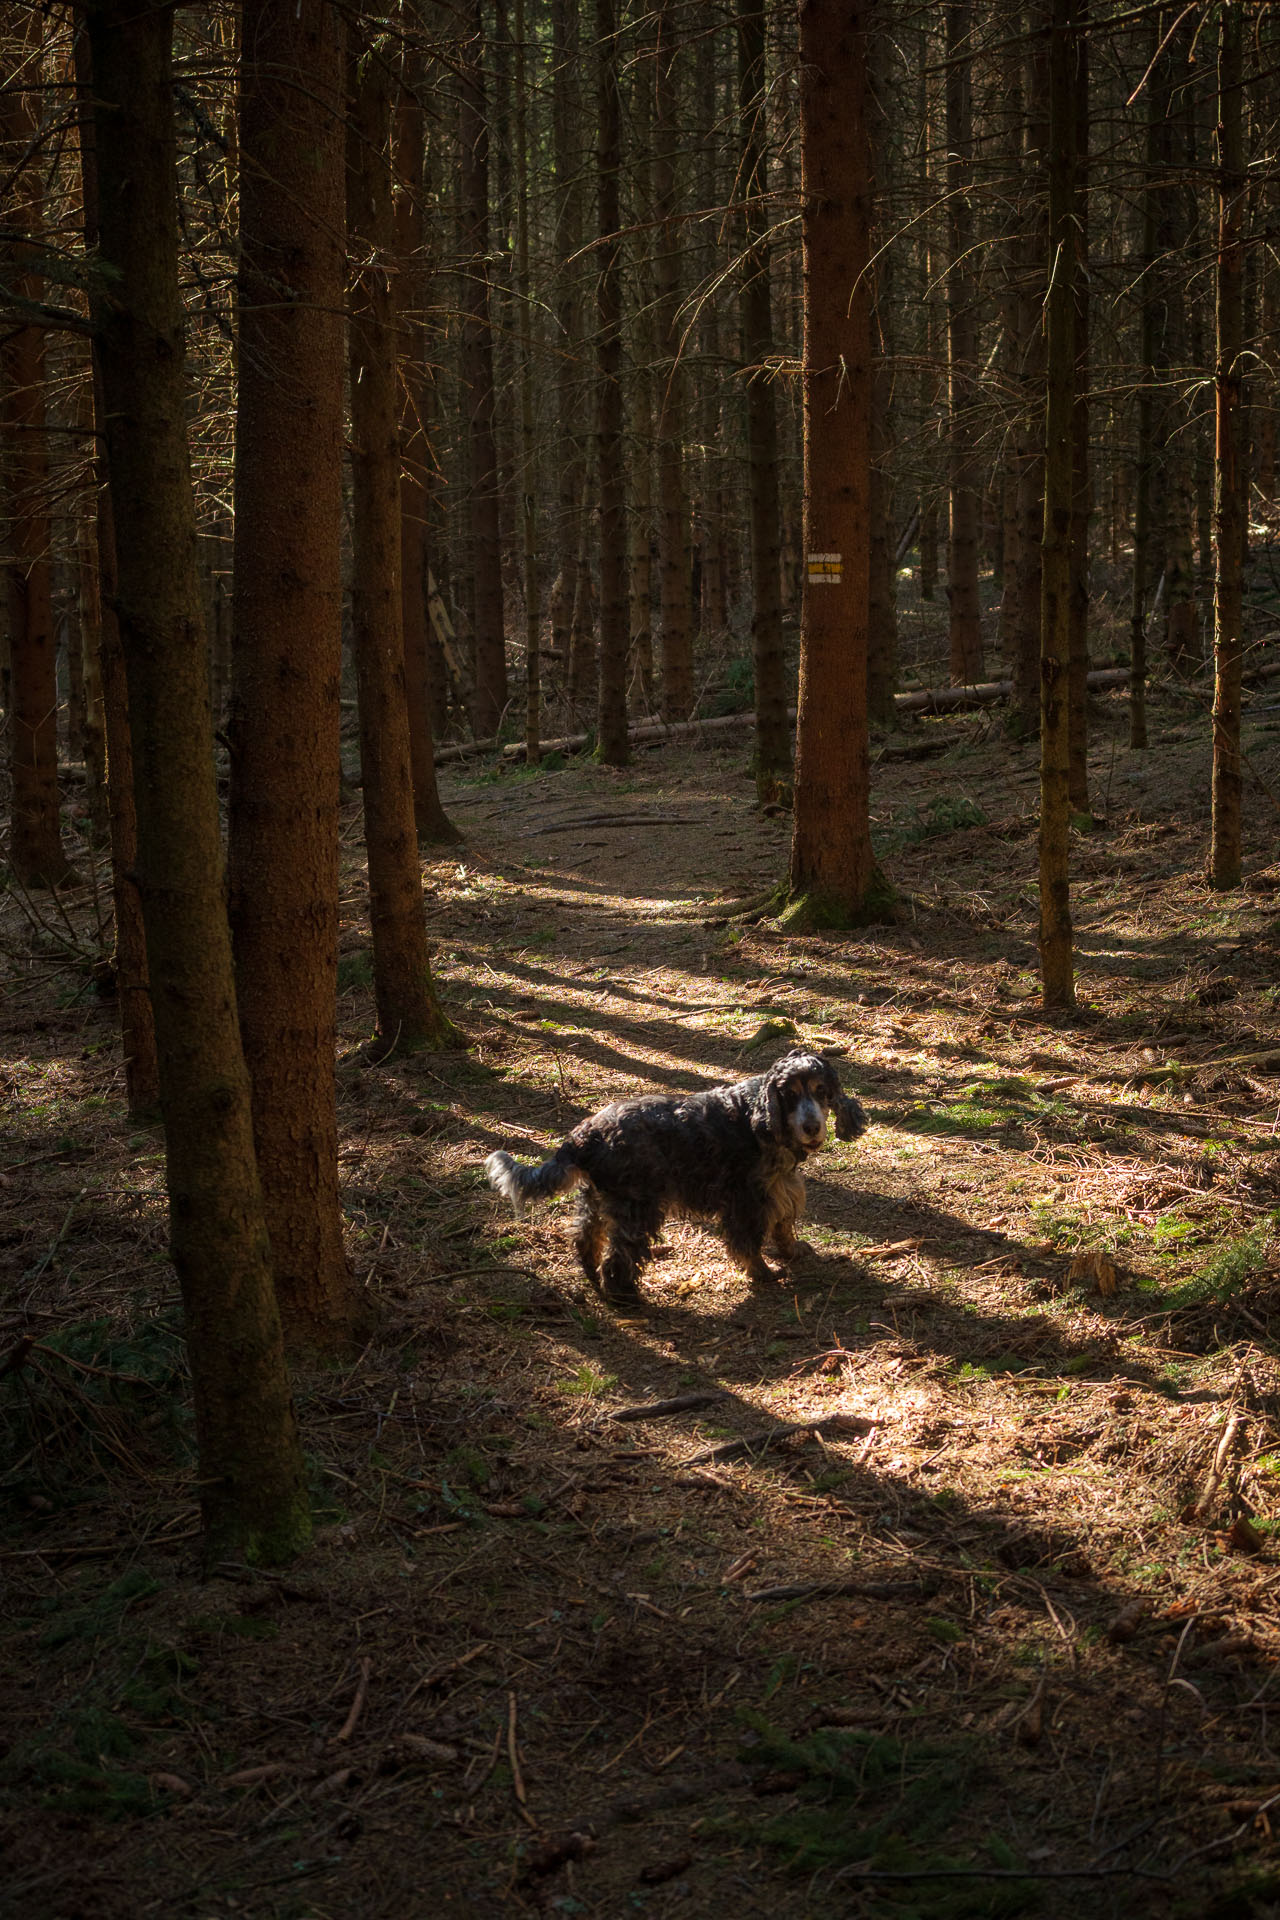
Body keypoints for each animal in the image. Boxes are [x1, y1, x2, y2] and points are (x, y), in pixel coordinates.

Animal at [485, 1052, 867, 1305]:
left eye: (821, 1091)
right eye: (789, 1094)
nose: (812, 1126)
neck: (759, 1115)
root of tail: (584, 1134)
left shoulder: (781, 1187)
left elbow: (784, 1225)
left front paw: (793, 1250)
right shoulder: (747, 1199)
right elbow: (749, 1243)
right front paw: (764, 1272)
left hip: (598, 1198)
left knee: (585, 1237)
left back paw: (592, 1273)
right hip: (638, 1207)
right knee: (619, 1257)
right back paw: (626, 1295)